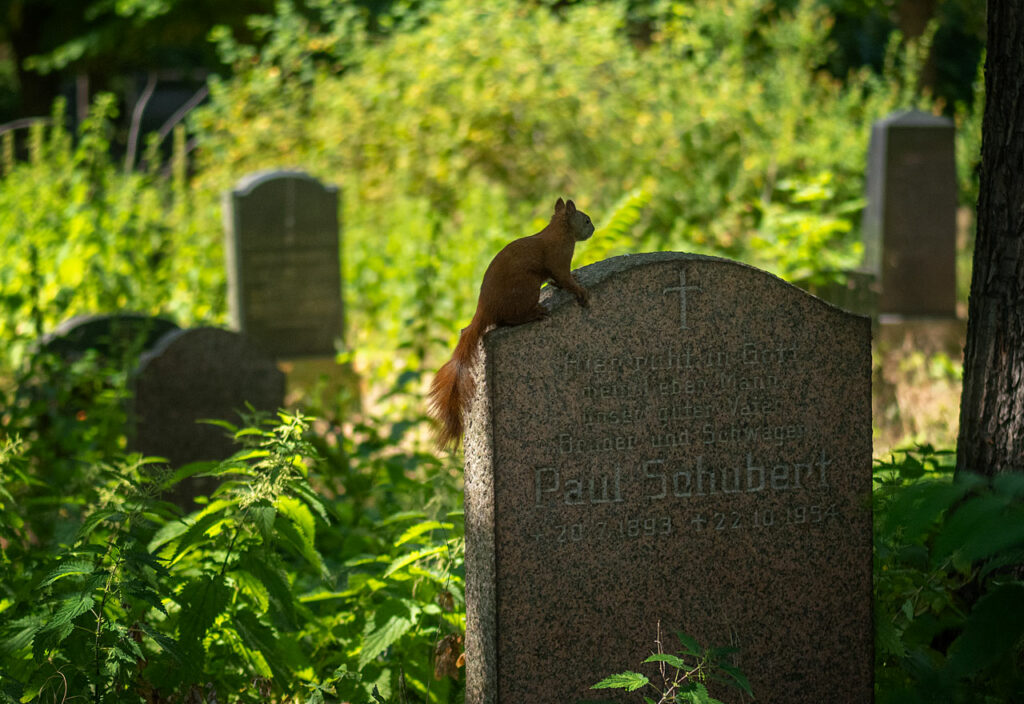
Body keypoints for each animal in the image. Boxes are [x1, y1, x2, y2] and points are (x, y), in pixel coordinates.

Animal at [427, 197, 595, 450]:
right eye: (585, 220)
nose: (593, 229)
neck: (558, 230)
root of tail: (485, 309)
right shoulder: (558, 258)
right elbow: (564, 278)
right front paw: (580, 291)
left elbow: (558, 280)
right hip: (526, 288)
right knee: (510, 319)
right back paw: (535, 313)